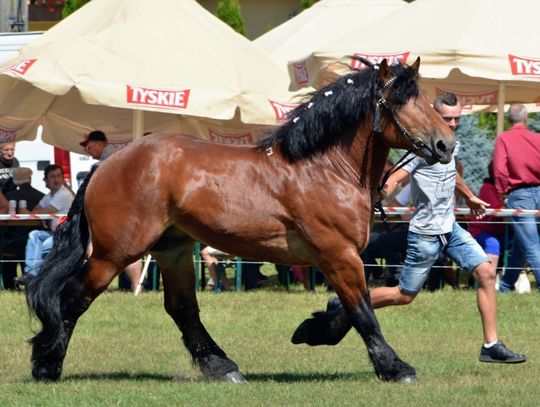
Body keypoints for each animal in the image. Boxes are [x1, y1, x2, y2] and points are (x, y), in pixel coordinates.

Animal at [25, 59, 456, 384]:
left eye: (425, 98)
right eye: (400, 102)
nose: (445, 144)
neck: (324, 169)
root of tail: (106, 165)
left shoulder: (340, 258)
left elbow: (351, 307)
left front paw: (313, 330)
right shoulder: (338, 255)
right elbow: (363, 311)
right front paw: (395, 368)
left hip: (173, 250)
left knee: (182, 308)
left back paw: (222, 366)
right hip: (114, 254)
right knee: (73, 298)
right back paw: (47, 364)